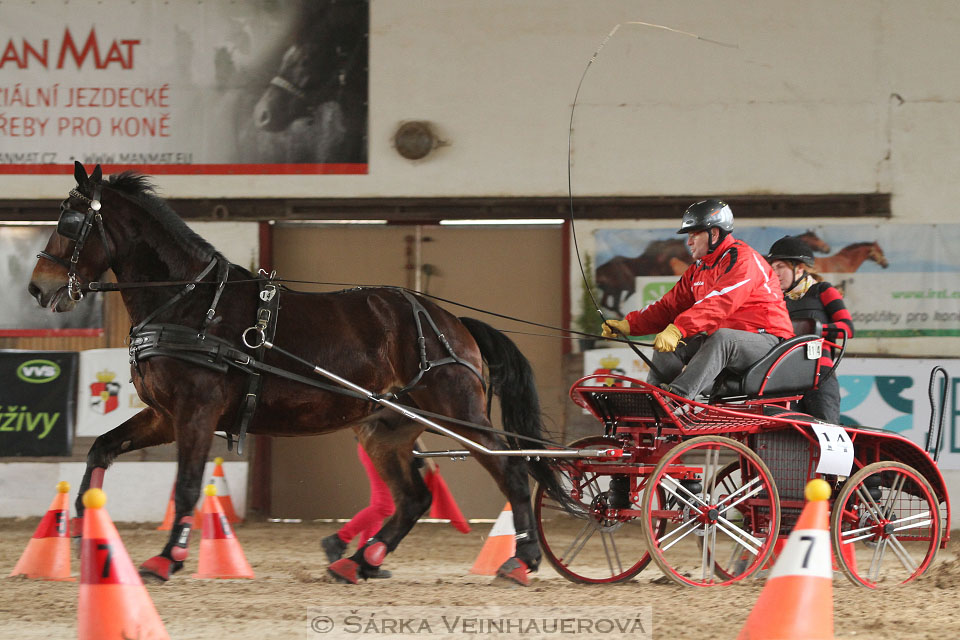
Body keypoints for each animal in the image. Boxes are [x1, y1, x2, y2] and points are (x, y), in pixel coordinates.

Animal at [28, 164, 568, 584]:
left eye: (71, 221)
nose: (38, 288)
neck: (192, 304)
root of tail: (452, 322)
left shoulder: (195, 413)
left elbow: (187, 486)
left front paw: (167, 559)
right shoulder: (164, 416)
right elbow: (100, 450)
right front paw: (83, 528)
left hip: (459, 414)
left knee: (511, 471)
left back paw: (521, 561)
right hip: (386, 430)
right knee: (413, 497)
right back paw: (359, 561)